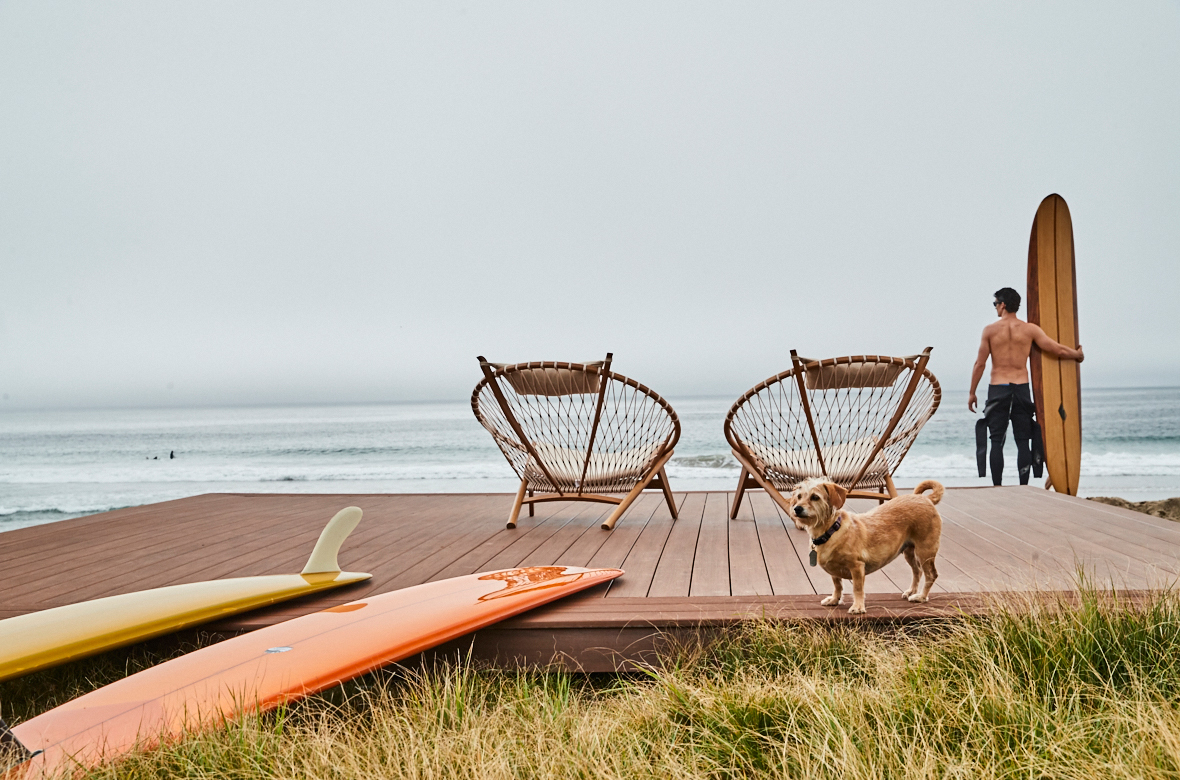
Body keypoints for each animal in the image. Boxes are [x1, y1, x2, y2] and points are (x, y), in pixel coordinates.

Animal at [788, 474, 943, 613]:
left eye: (815, 497)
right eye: (799, 497)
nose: (797, 508)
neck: (831, 531)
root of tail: (925, 499)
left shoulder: (857, 567)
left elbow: (857, 588)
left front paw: (857, 607)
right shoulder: (834, 571)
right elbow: (837, 585)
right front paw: (834, 599)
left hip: (925, 551)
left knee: (931, 574)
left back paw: (921, 597)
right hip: (909, 551)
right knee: (917, 570)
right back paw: (912, 591)